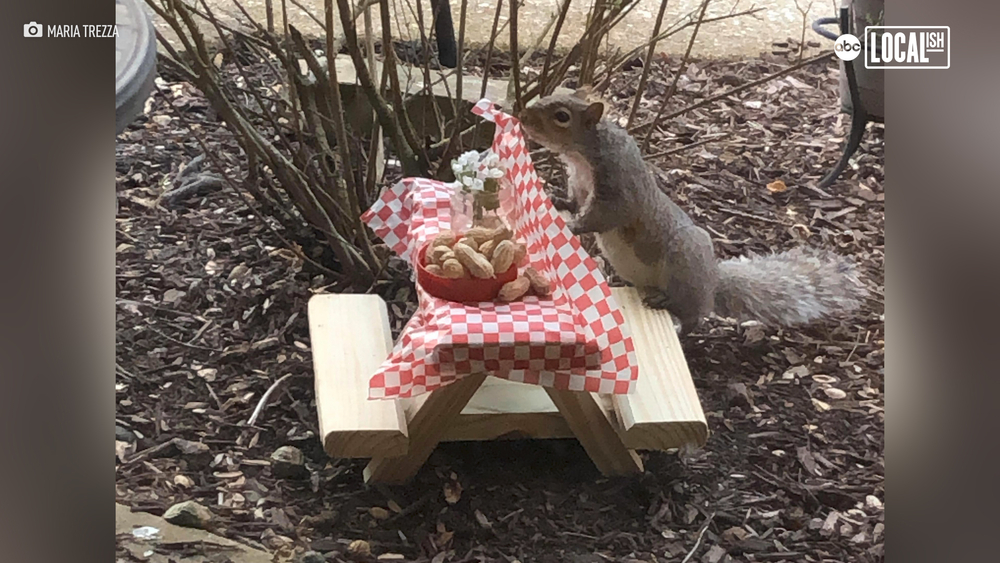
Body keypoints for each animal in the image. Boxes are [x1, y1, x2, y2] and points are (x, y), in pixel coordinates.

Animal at [516, 88, 867, 335]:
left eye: (561, 116)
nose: (522, 115)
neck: (583, 155)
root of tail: (711, 282)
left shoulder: (619, 187)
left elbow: (606, 215)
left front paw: (573, 226)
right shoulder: (579, 185)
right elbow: (574, 202)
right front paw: (557, 202)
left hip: (685, 261)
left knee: (692, 315)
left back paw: (671, 308)